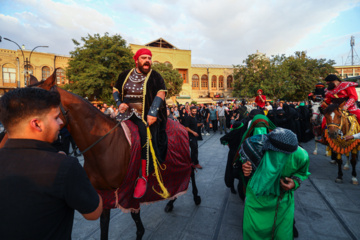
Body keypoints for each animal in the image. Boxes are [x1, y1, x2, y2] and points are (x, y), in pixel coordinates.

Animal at [0, 71, 197, 240]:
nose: (5, 144)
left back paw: (194, 197)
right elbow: (104, 225)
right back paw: (171, 202)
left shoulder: (127, 193)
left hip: (184, 158)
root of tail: (179, 123)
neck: (104, 145)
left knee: (191, 172)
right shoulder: (104, 193)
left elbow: (138, 224)